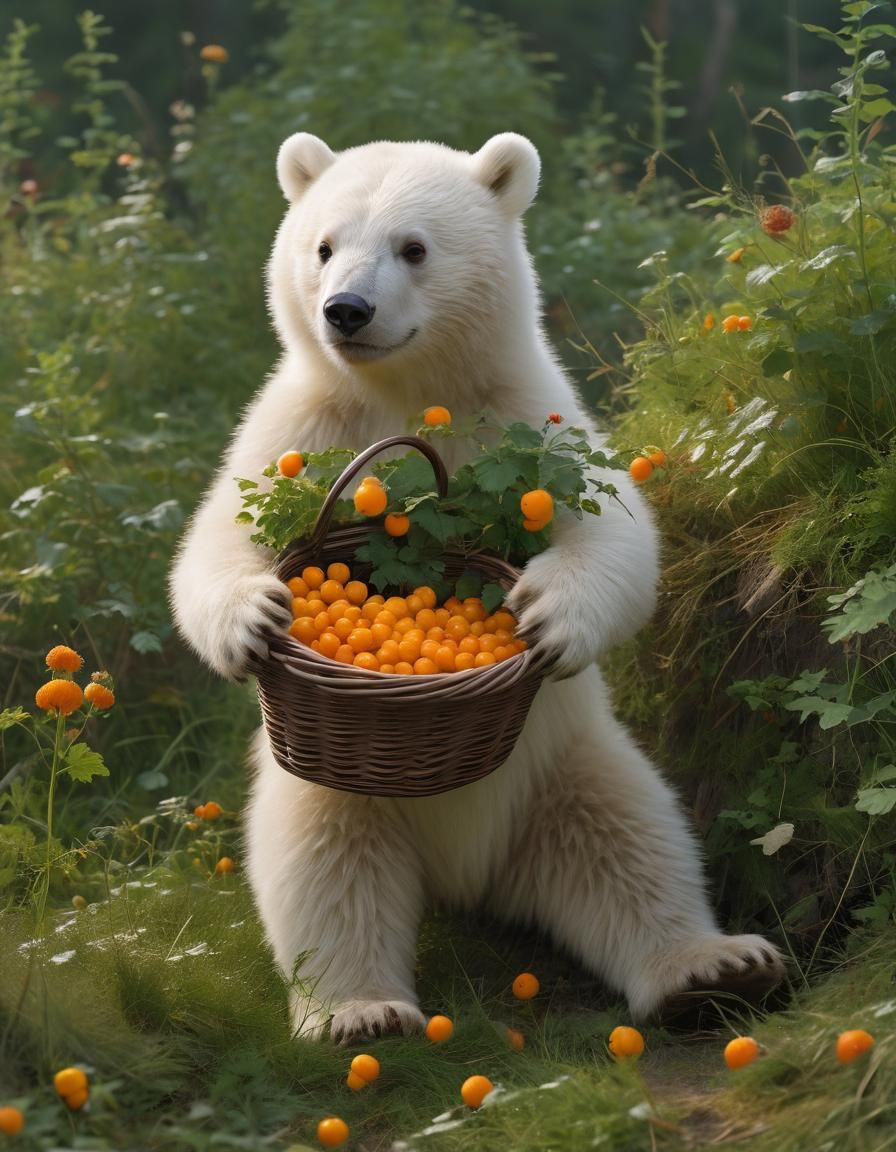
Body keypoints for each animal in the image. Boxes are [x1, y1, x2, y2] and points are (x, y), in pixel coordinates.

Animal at [170, 132, 785, 1043]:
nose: (345, 310)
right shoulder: (302, 425)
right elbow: (220, 536)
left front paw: (546, 613)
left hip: (564, 764)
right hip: (338, 788)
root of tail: (465, 875)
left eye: (414, 248)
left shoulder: (529, 415)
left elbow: (614, 529)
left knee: (635, 840)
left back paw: (711, 965)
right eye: (324, 247)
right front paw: (255, 618)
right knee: (322, 867)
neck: (410, 393)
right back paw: (359, 1010)